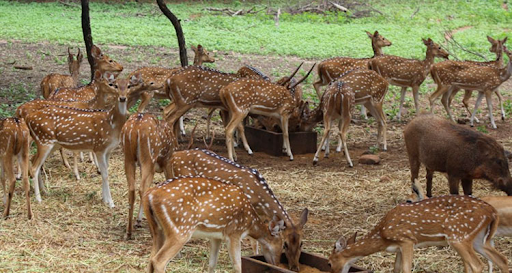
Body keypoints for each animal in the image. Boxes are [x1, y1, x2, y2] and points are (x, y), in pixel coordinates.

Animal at [25, 73, 142, 205]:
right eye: (114, 85)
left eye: (129, 86)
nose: (122, 98)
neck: (111, 123)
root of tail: (28, 118)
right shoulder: (99, 147)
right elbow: (105, 173)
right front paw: (110, 203)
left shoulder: (108, 150)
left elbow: (105, 172)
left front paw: (104, 199)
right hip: (44, 141)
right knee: (34, 167)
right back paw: (38, 198)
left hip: (51, 144)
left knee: (34, 161)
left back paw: (45, 191)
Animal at [142, 175, 284, 272]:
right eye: (282, 244)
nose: (277, 263)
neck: (249, 224)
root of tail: (149, 194)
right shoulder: (234, 233)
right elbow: (238, 265)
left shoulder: (216, 236)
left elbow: (212, 263)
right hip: (180, 230)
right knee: (158, 261)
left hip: (157, 230)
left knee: (150, 259)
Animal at [328, 194, 508, 272]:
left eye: (329, 263)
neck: (382, 236)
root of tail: (492, 212)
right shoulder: (399, 247)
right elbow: (397, 268)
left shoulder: (407, 240)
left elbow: (406, 269)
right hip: (478, 239)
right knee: (502, 259)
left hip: (458, 236)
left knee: (477, 265)